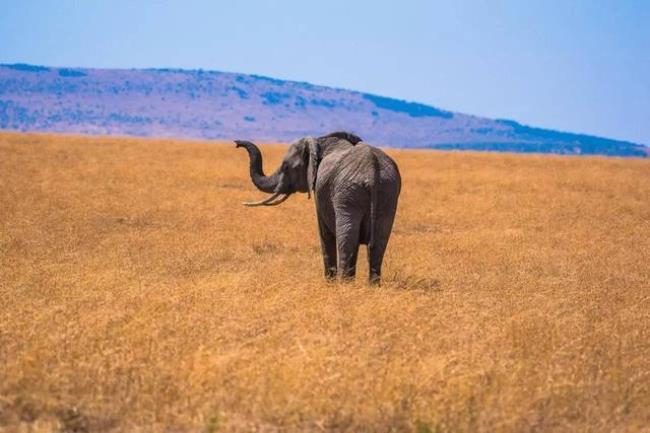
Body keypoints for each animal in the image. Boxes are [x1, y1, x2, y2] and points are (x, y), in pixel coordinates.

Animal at [235, 132, 398, 284]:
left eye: (286, 167)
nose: (236, 143)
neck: (320, 141)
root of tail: (372, 169)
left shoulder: (320, 193)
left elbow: (325, 234)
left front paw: (330, 283)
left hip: (348, 195)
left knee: (347, 240)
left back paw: (344, 285)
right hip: (387, 193)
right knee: (379, 242)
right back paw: (372, 285)